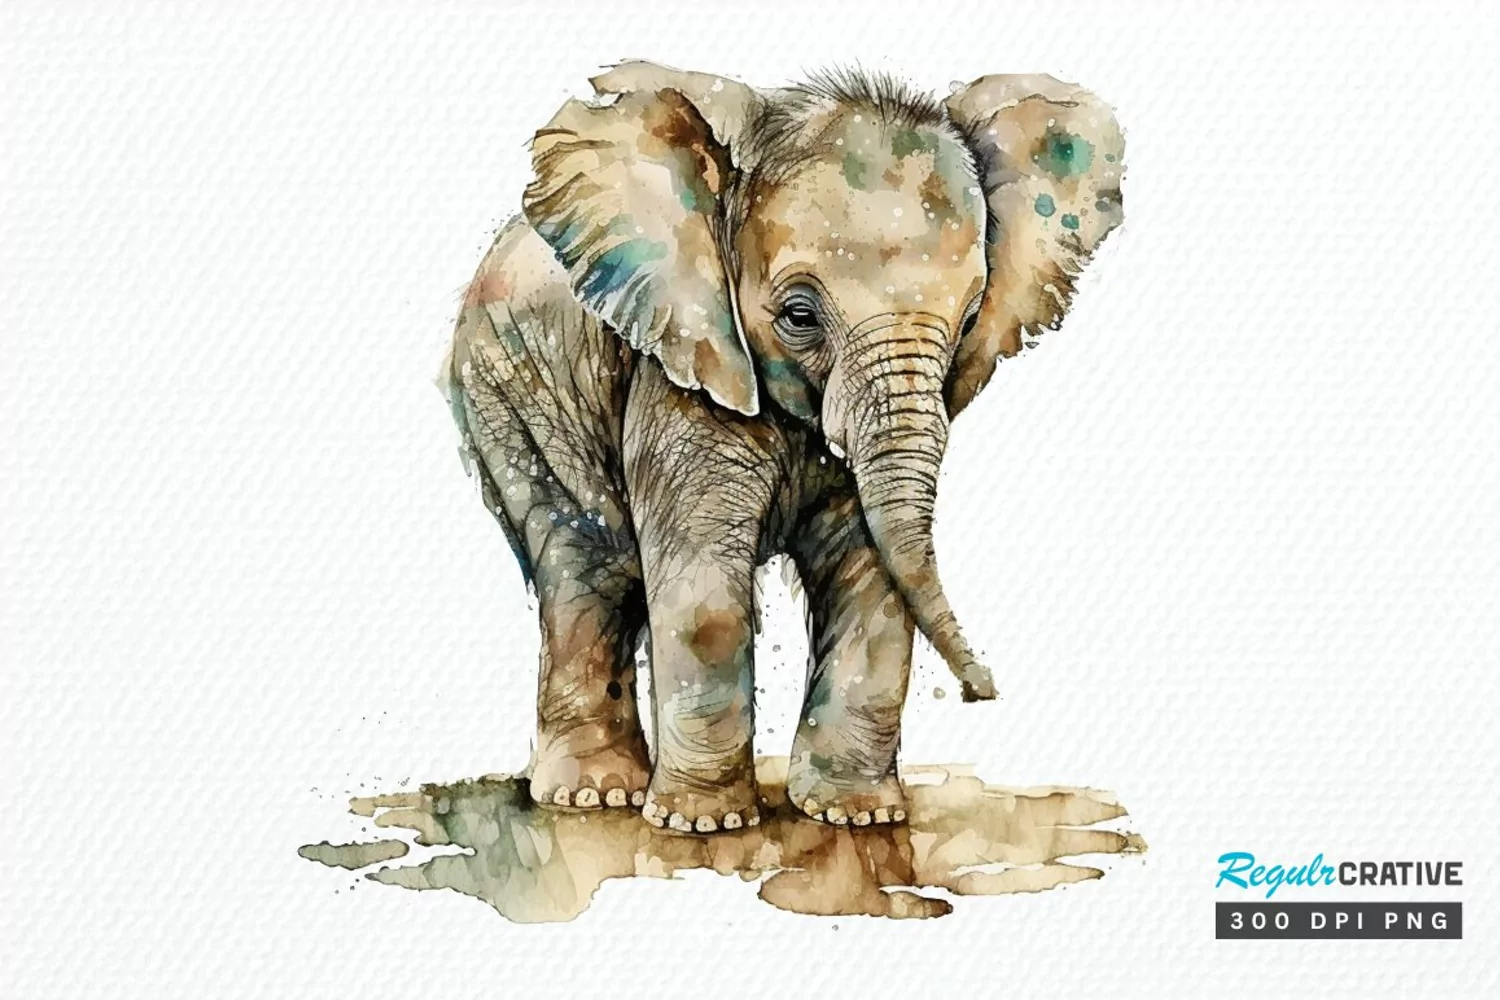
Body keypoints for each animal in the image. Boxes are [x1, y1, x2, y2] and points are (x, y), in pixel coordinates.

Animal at [438, 61, 1124, 834]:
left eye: (971, 313)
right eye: (798, 315)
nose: (985, 691)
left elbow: (871, 577)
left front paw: (854, 817)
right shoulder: (685, 363)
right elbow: (704, 587)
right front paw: (701, 824)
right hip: (509, 395)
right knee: (587, 566)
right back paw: (595, 798)